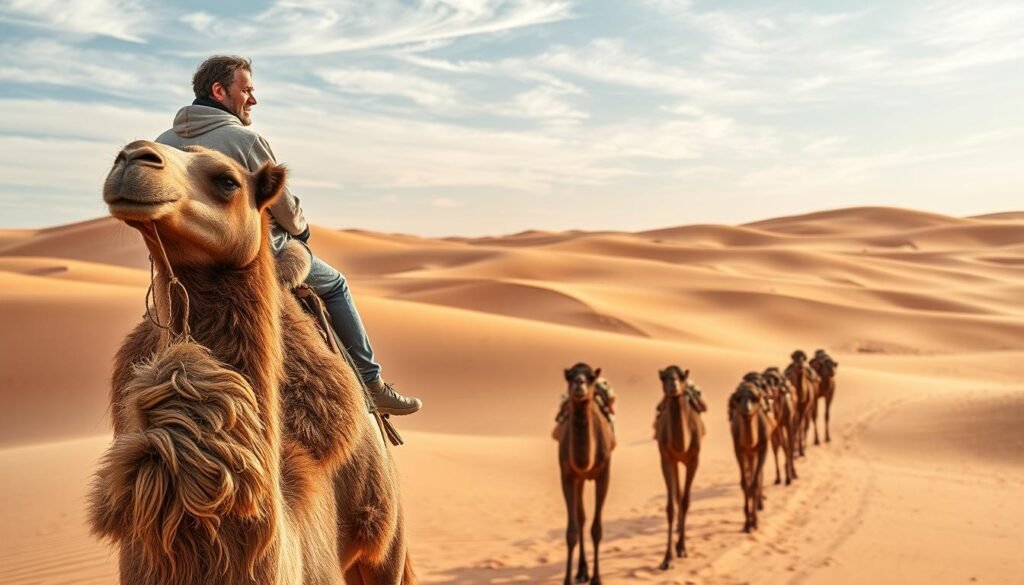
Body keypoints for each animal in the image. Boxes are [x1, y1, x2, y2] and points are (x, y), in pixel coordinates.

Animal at [557, 363, 615, 585]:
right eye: (569, 376)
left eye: (590, 377)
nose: (579, 383)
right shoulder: (567, 475)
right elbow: (571, 531)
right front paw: (567, 580)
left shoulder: (604, 474)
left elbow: (597, 530)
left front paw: (597, 578)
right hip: (579, 480)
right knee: (580, 518)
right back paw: (581, 570)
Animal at [653, 366, 705, 569]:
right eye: (663, 377)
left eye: (681, 376)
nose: (673, 384)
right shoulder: (666, 459)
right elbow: (671, 506)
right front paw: (667, 558)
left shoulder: (694, 460)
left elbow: (685, 501)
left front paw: (682, 547)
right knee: (677, 494)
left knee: (681, 496)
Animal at [729, 381, 769, 532]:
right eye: (738, 398)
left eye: (755, 399)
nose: (746, 408)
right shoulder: (739, 449)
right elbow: (745, 484)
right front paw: (747, 523)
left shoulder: (763, 447)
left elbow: (755, 483)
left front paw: (755, 522)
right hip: (749, 454)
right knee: (750, 474)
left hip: (755, 453)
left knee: (758, 476)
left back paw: (759, 503)